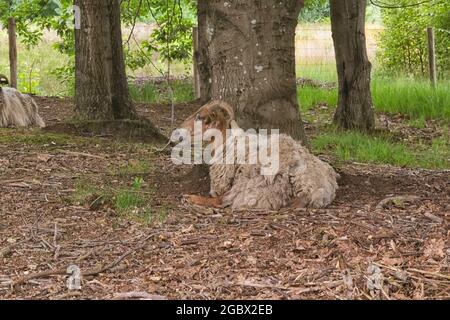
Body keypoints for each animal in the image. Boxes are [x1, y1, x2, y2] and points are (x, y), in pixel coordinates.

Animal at [176, 100, 338, 210]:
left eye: (200, 117)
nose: (178, 131)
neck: (227, 142)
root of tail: (327, 186)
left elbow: (218, 199)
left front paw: (189, 198)